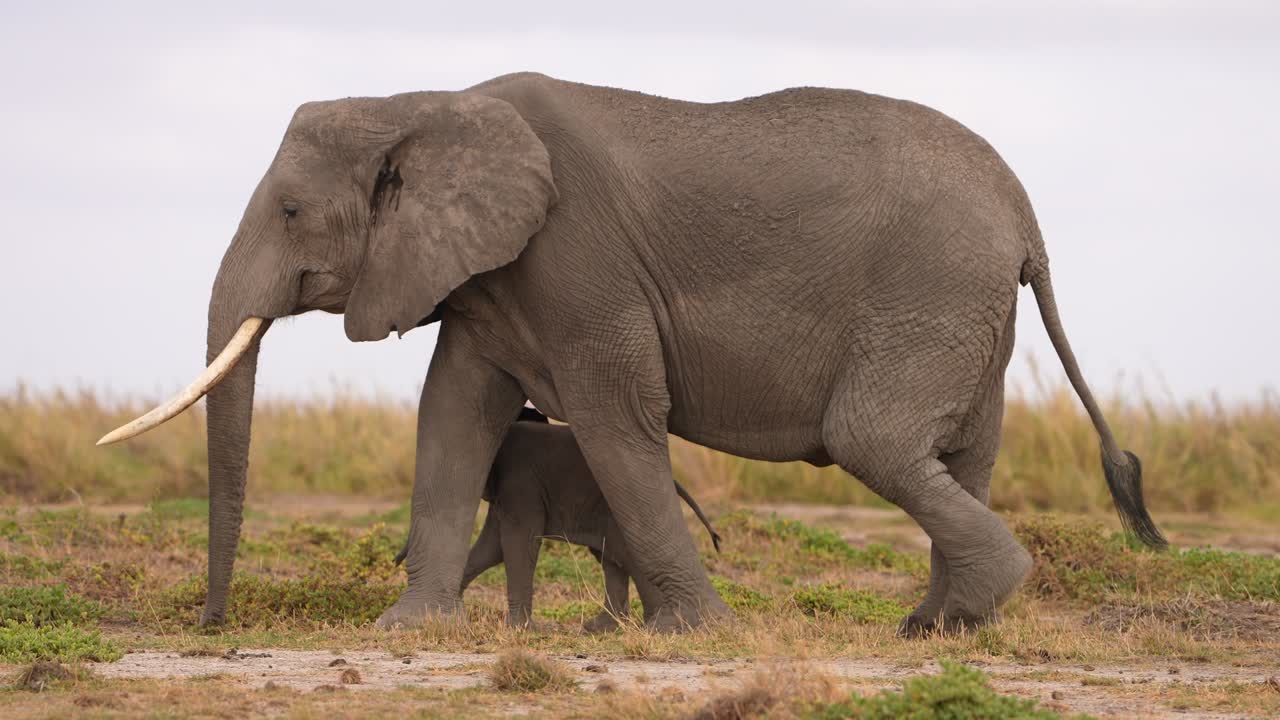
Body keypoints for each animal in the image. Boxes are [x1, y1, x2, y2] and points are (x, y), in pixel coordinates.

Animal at [449, 407, 723, 631]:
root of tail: (673, 480)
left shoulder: (521, 484)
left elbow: (519, 542)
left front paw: (520, 629)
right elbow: (492, 548)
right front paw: (453, 610)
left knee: (623, 556)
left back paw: (655, 624)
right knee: (611, 558)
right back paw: (602, 627)